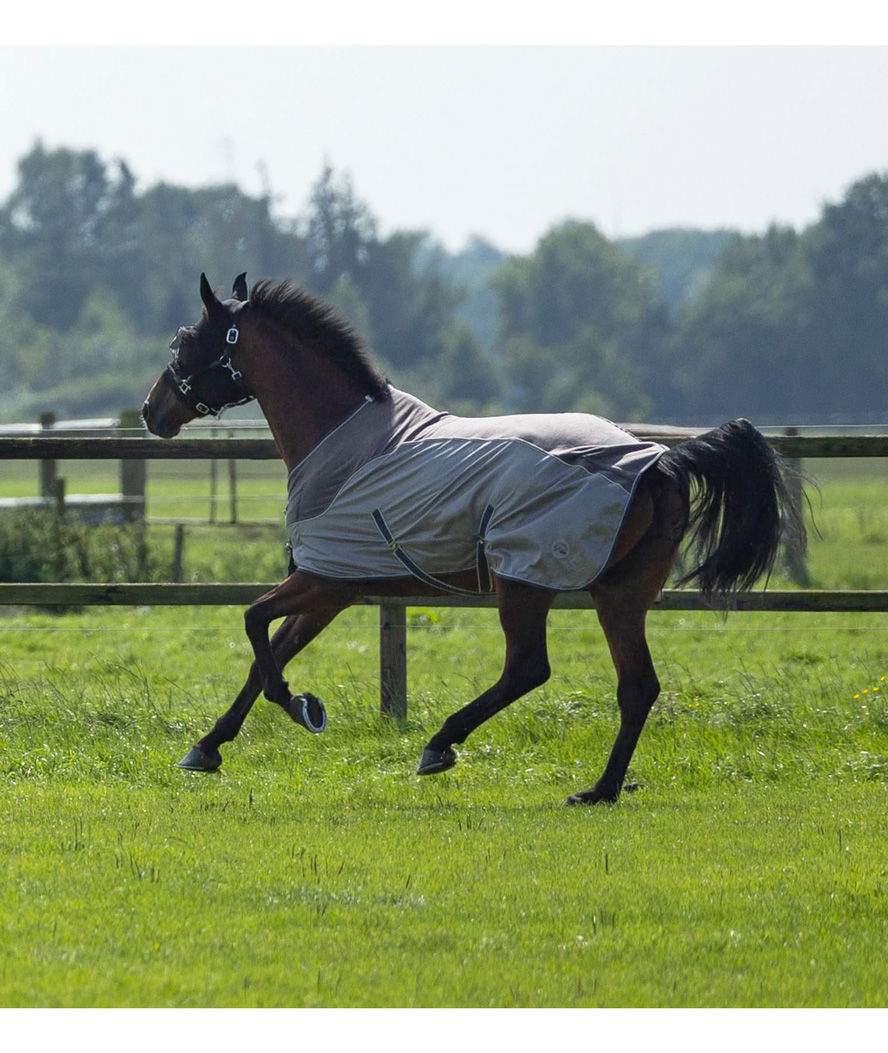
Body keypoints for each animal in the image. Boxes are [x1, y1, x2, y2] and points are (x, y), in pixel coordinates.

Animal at [142, 273, 800, 804]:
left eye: (185, 341)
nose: (153, 411)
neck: (339, 437)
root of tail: (661, 460)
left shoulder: (323, 579)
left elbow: (255, 627)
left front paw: (303, 707)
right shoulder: (336, 589)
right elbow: (267, 654)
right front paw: (208, 746)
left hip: (523, 582)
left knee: (529, 668)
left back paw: (442, 744)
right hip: (619, 595)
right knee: (636, 686)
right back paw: (600, 790)